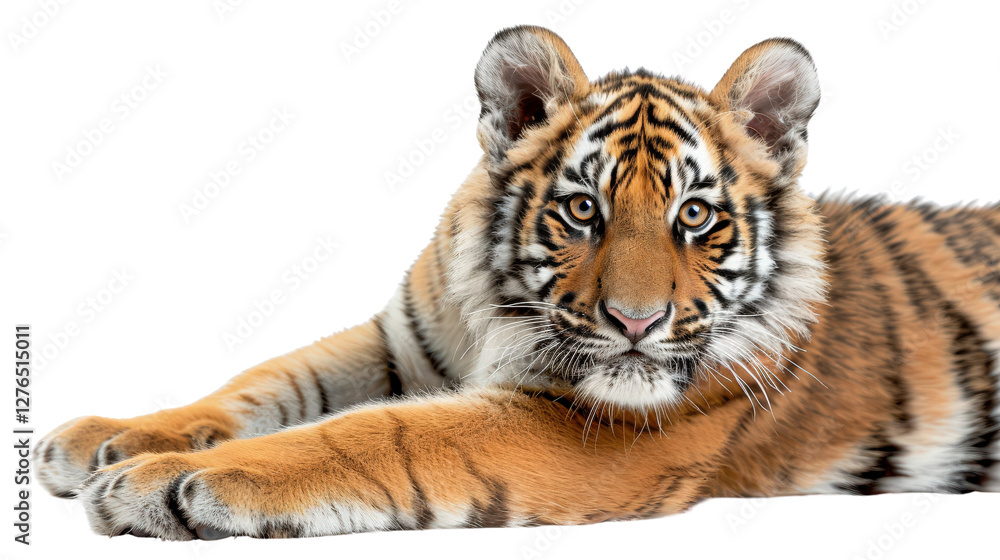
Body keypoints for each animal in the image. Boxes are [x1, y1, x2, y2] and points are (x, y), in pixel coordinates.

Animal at [36, 25, 1000, 540]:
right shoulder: (397, 340)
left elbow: (376, 436)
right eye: (581, 209)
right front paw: (106, 438)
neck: (496, 316)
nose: (637, 323)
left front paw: (167, 483)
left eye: (694, 215)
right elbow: (268, 381)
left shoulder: (581, 429)